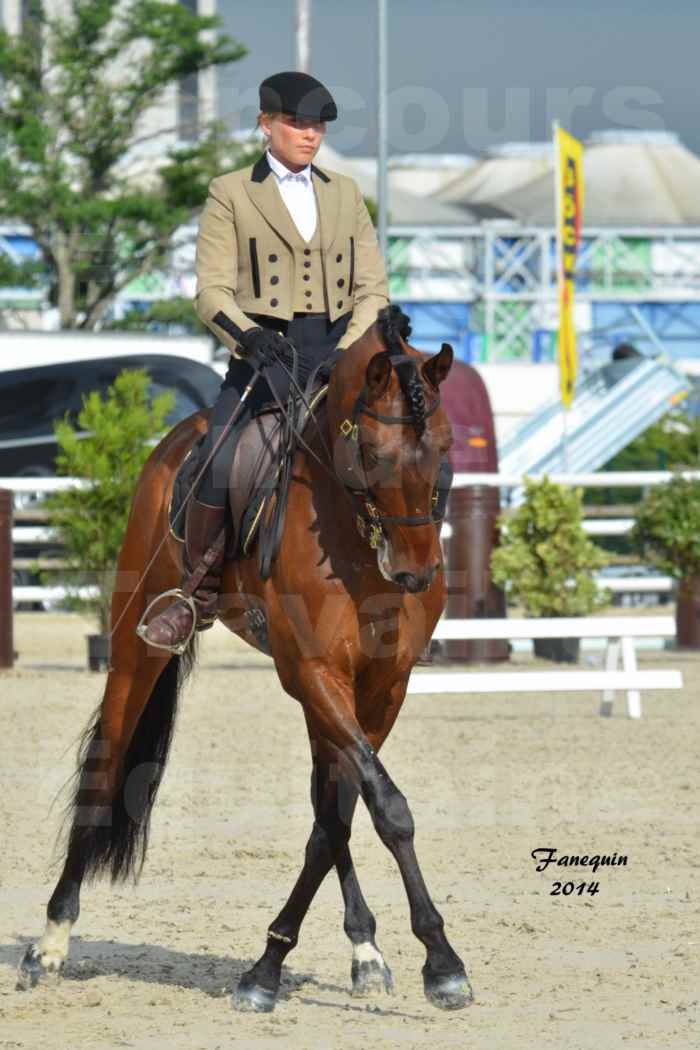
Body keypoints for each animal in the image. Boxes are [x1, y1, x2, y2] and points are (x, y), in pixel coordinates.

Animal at [17, 306, 476, 1012]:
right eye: (373, 455)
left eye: (447, 448)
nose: (414, 572)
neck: (351, 538)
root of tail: (183, 436)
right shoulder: (314, 674)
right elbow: (387, 809)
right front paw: (441, 960)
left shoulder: (380, 686)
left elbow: (340, 814)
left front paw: (288, 962)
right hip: (137, 648)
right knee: (106, 766)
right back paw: (51, 942)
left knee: (329, 807)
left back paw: (364, 952)